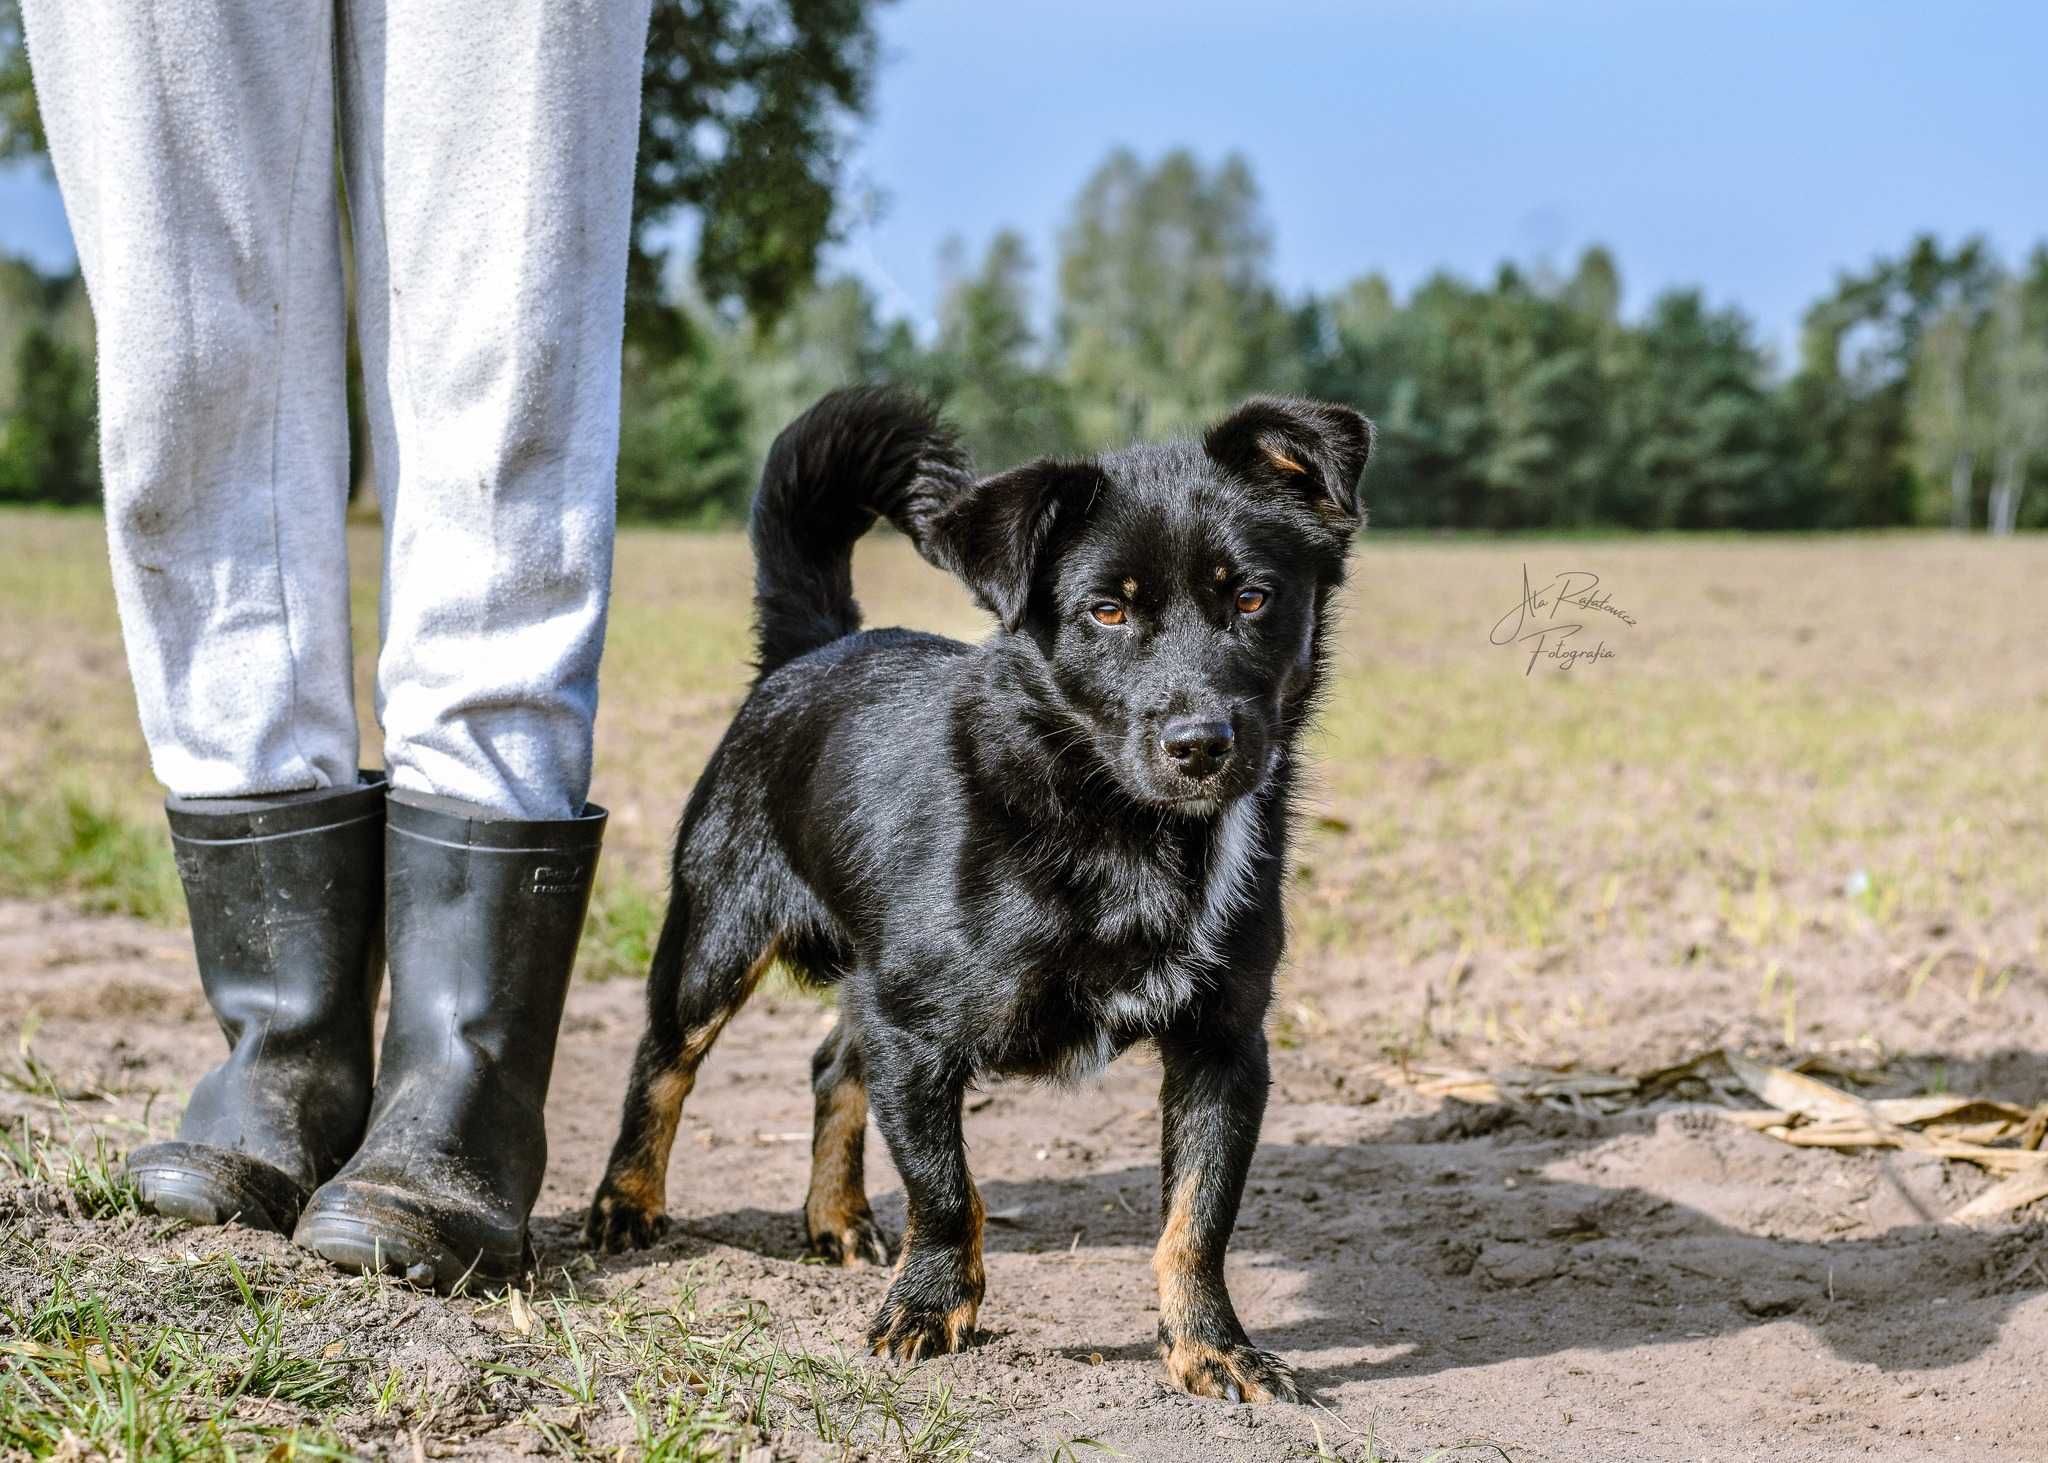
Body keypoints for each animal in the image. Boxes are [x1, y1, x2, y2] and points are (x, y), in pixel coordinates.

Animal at [585, 387, 1368, 1401]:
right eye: (1106, 610)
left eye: (1252, 597)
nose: (1200, 742)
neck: (1120, 823)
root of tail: (815, 646)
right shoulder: (917, 1028)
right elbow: (947, 1189)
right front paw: (929, 1309)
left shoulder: (1223, 1042)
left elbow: (1198, 1218)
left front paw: (1209, 1344)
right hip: (718, 938)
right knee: (664, 1059)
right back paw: (627, 1203)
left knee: (833, 1065)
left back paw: (834, 1216)